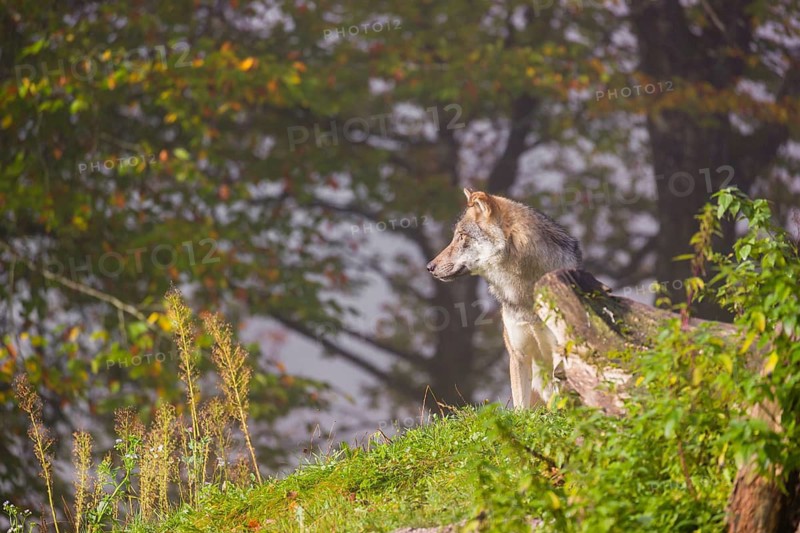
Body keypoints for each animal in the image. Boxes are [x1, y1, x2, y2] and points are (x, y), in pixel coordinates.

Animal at [426, 188, 582, 408]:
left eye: (461, 236)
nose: (429, 267)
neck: (525, 292)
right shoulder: (518, 354)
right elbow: (520, 407)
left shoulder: (560, 356)